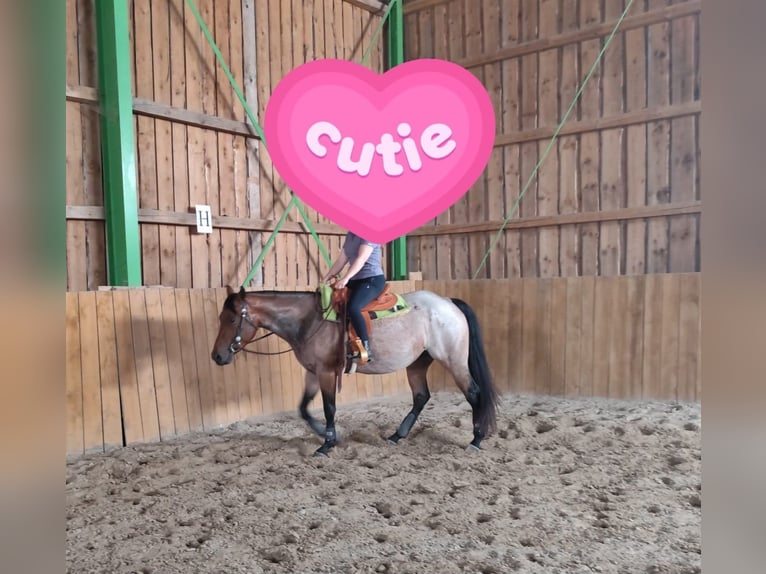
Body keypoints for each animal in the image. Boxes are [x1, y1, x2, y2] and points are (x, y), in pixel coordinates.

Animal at [210, 285, 499, 456]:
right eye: (220, 318)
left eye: (233, 319)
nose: (217, 356)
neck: (309, 321)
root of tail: (448, 301)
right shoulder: (313, 372)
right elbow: (303, 408)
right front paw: (324, 434)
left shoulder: (327, 373)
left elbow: (329, 407)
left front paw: (327, 443)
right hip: (417, 362)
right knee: (421, 396)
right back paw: (397, 435)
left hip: (453, 360)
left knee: (473, 393)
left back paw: (476, 439)